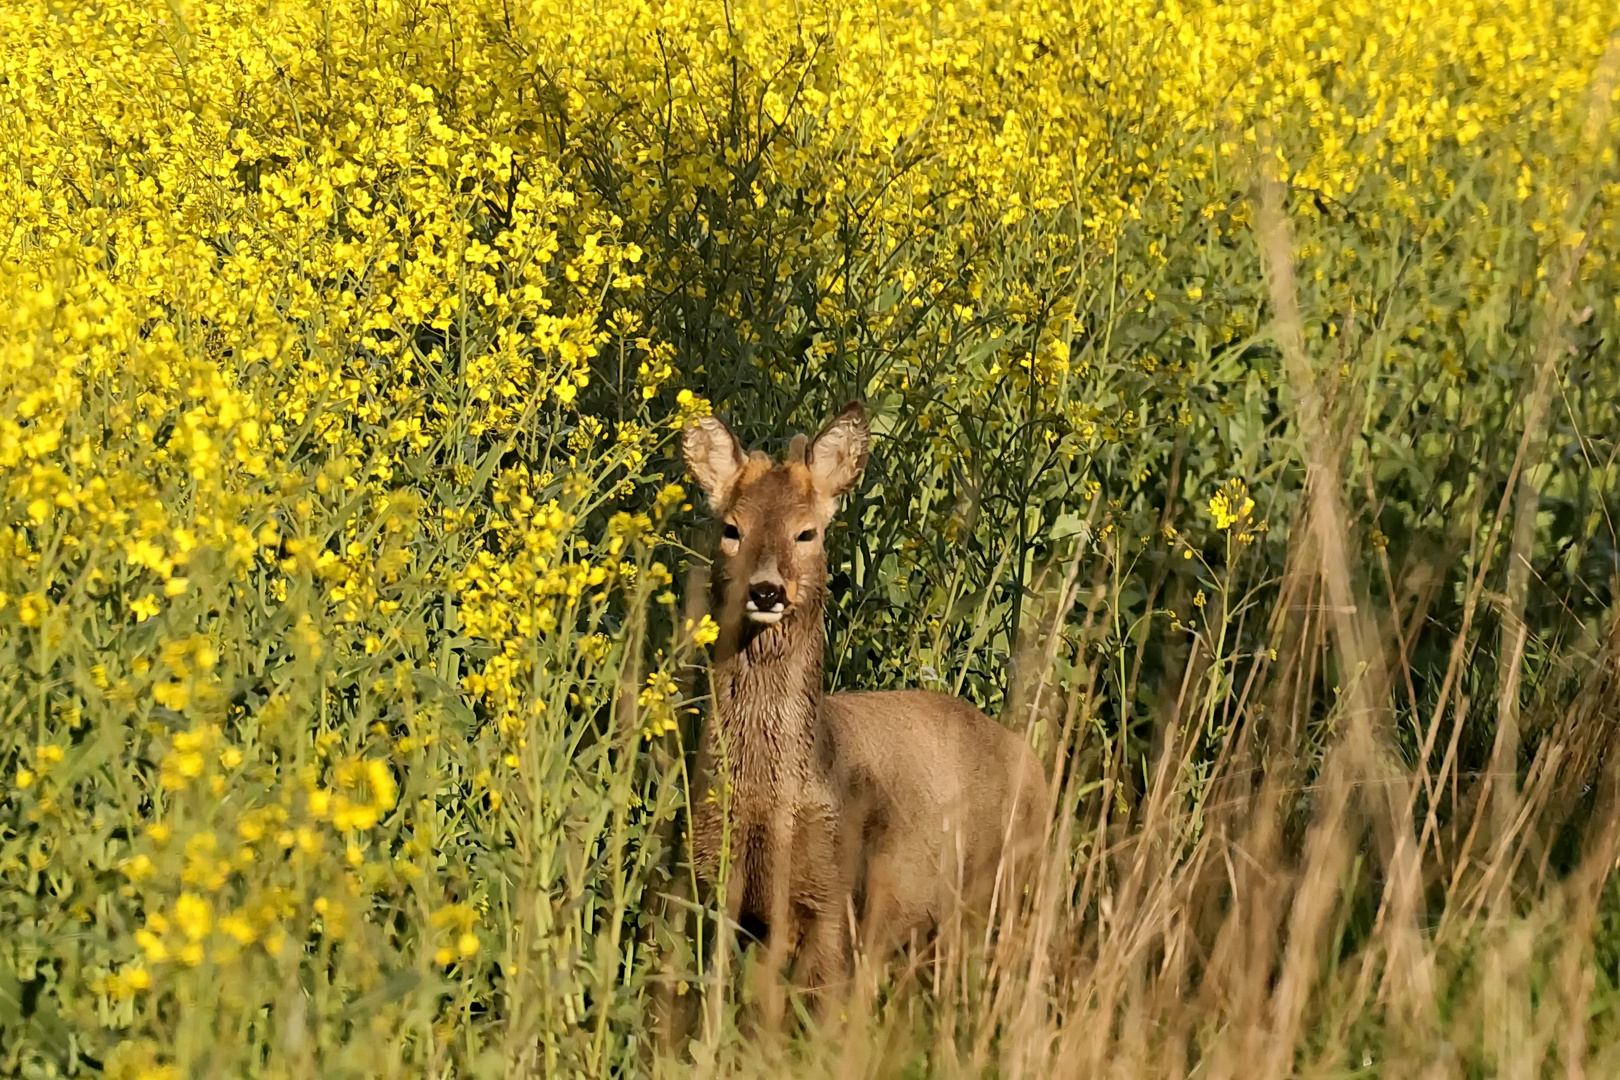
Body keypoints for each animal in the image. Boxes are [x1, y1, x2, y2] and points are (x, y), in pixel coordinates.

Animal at [677, 401, 1043, 1016]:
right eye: (732, 529)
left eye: (807, 532)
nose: (767, 591)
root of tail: (1036, 762)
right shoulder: (715, 883)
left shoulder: (834, 890)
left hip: (1001, 889)